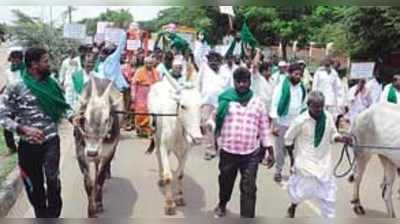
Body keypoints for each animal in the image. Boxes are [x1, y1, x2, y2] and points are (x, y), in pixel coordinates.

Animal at [72, 76, 124, 217]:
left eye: (106, 120)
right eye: (85, 118)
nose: (92, 152)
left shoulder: (109, 152)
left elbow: (100, 178)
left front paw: (98, 203)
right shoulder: (80, 153)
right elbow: (88, 184)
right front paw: (91, 210)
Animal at [147, 73, 203, 215]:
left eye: (201, 106)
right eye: (183, 106)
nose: (197, 138)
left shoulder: (186, 150)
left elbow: (180, 174)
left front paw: (180, 197)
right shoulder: (164, 146)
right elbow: (168, 176)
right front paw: (169, 204)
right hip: (156, 135)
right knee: (158, 155)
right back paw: (160, 178)